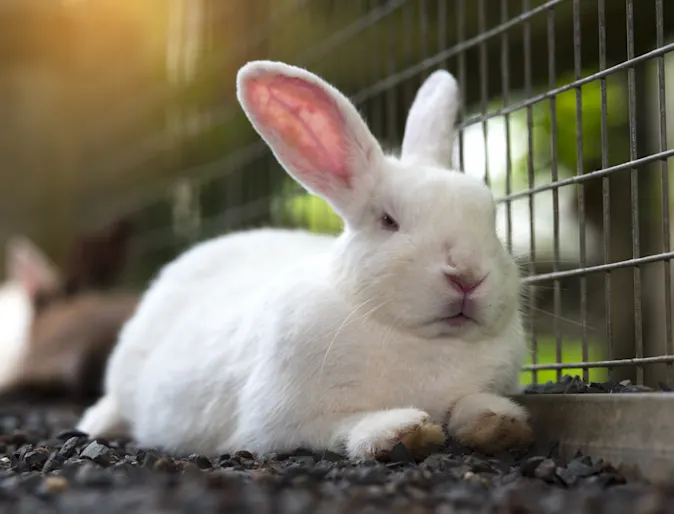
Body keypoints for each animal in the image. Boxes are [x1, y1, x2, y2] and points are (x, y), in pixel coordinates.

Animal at [79, 62, 532, 458]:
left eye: (490, 218)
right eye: (388, 221)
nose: (468, 275)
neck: (424, 343)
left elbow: (471, 404)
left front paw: (499, 422)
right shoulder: (281, 423)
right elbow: (342, 426)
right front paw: (401, 430)